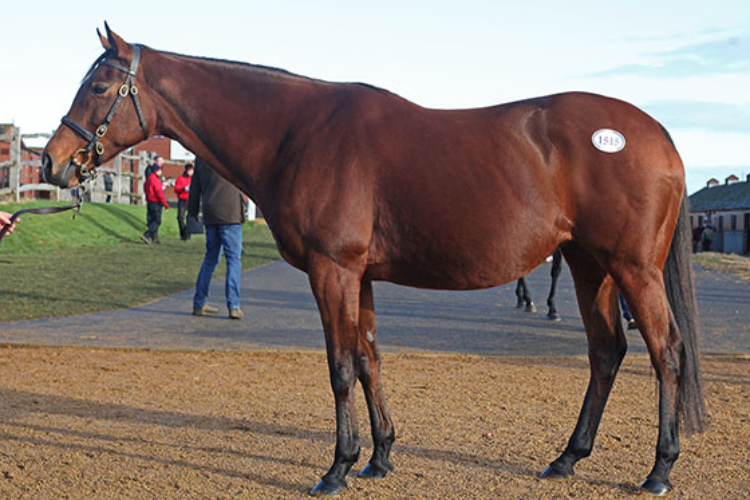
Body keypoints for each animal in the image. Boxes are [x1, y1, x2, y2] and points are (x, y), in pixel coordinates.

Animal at [44, 26, 708, 496]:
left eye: (98, 87)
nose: (53, 162)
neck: (297, 133)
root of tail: (657, 134)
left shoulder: (332, 269)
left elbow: (340, 366)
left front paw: (337, 468)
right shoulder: (358, 275)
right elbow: (369, 359)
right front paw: (381, 456)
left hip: (632, 267)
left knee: (666, 351)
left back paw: (658, 470)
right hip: (589, 263)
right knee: (607, 351)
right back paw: (567, 458)